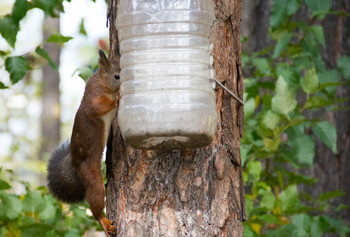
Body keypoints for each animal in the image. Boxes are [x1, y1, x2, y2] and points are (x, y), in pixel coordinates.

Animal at [47, 49, 120, 236]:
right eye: (117, 76)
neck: (101, 83)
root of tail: (75, 165)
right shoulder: (92, 102)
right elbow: (98, 108)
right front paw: (117, 99)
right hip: (92, 176)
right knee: (95, 202)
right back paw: (103, 221)